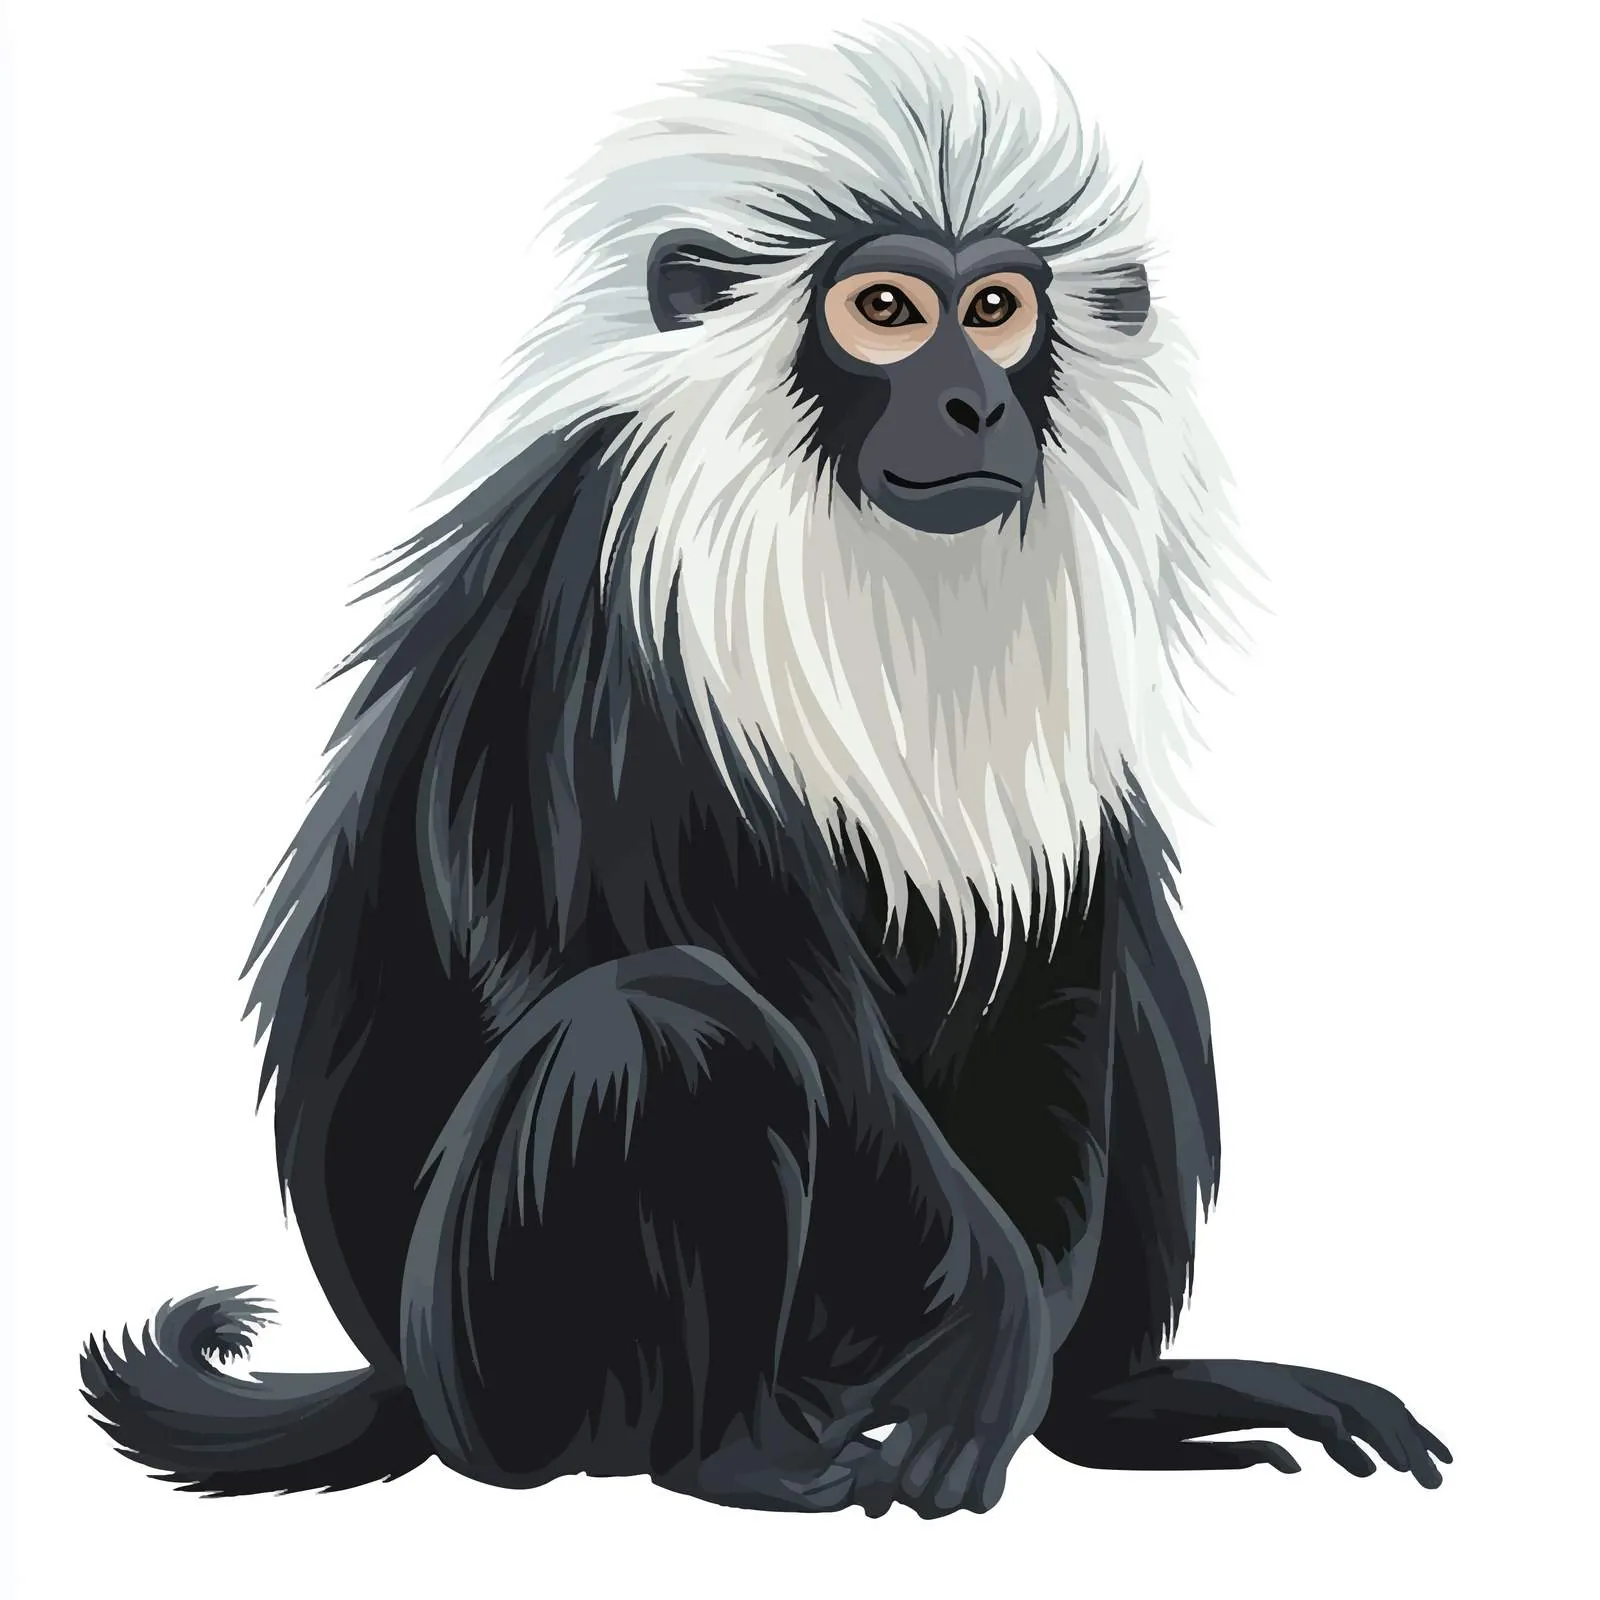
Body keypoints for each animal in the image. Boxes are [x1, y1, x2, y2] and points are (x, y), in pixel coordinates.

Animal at [81, 29, 1450, 1517]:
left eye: (997, 311)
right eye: (888, 311)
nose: (975, 401)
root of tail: (398, 1369)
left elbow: (1066, 960)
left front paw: (1034, 1364)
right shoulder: (627, 629)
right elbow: (775, 1000)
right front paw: (991, 1341)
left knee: (1136, 961)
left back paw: (1126, 1407)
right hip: (503, 1367)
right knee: (669, 1030)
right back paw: (738, 1456)